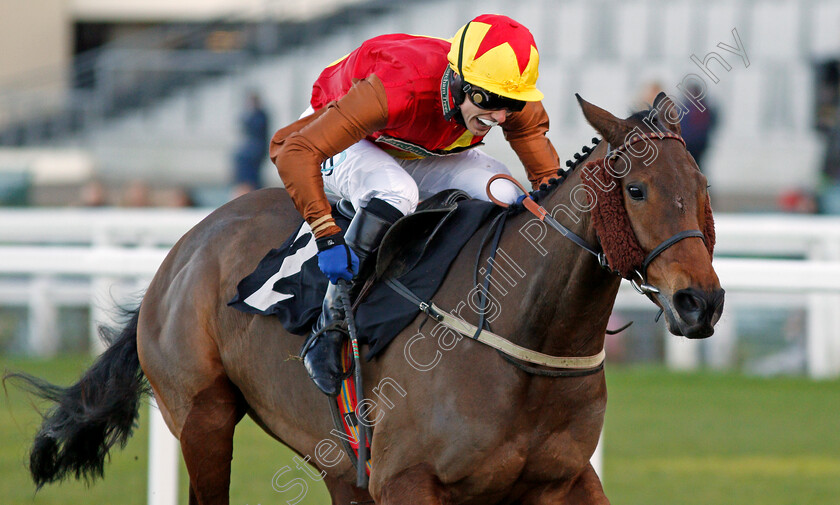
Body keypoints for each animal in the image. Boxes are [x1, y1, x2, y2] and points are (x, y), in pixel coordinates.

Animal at [6, 92, 724, 502]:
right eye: (636, 191)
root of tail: (185, 245)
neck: (526, 341)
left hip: (336, 459)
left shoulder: (563, 478)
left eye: (702, 187)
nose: (702, 303)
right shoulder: (407, 480)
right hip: (202, 418)